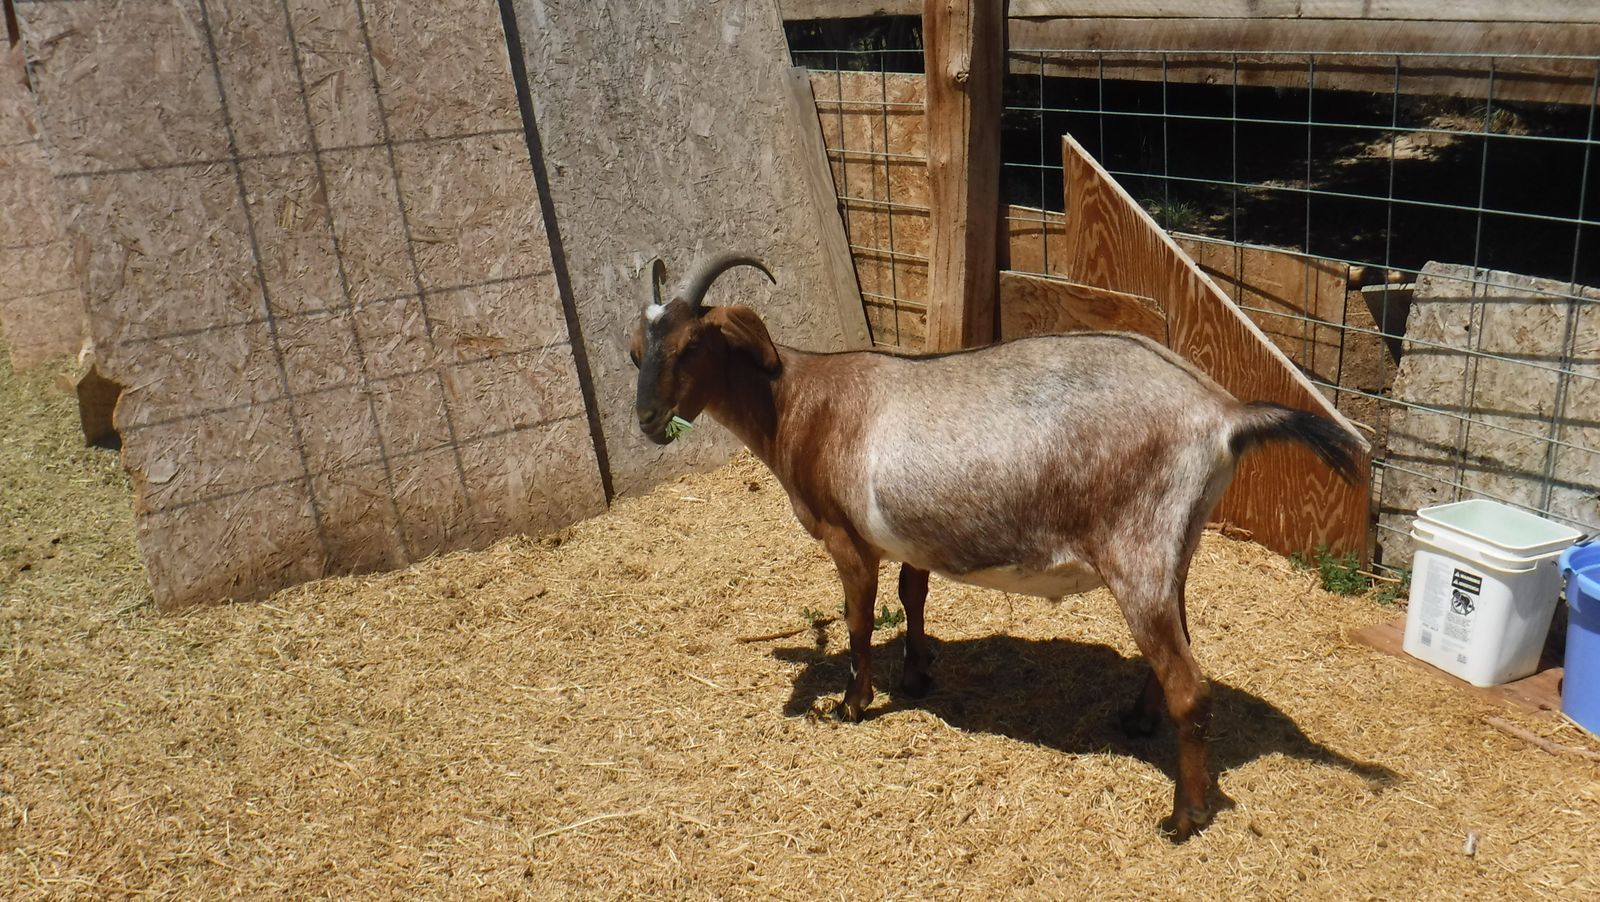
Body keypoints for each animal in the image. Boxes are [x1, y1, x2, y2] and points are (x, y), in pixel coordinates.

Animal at [629, 253, 1363, 841]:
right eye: (638, 351)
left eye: (691, 345)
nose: (646, 421)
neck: (797, 400)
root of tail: (1223, 413)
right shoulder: (910, 537)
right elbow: (913, 594)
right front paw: (916, 674)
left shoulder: (846, 537)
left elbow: (860, 619)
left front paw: (852, 704)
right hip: (1174, 549)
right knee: (1176, 646)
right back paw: (1136, 721)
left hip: (1138, 553)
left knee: (1191, 687)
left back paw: (1183, 818)